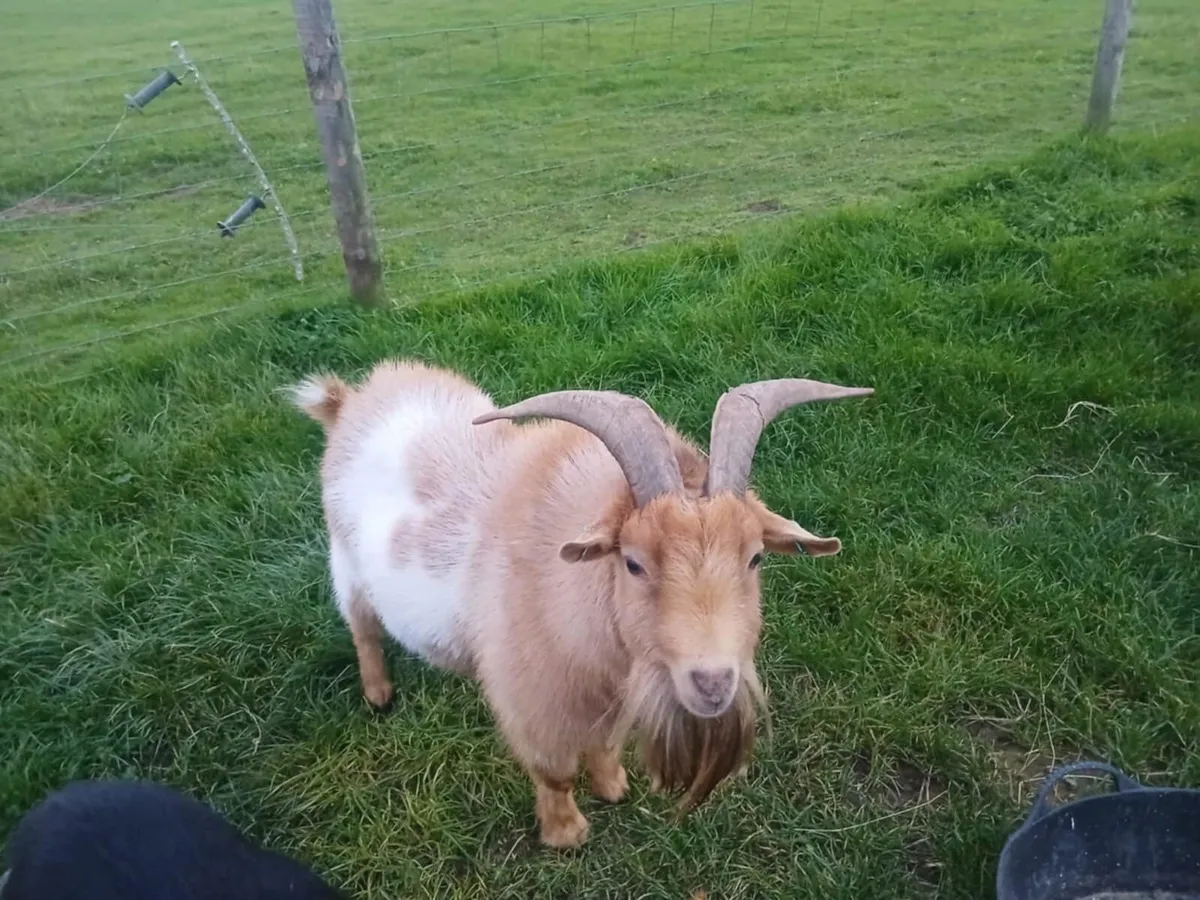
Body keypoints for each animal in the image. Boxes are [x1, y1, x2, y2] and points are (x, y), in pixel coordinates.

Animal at [291, 360, 871, 847]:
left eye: (754, 557)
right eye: (633, 563)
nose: (713, 683)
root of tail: (352, 399)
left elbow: (604, 745)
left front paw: (613, 785)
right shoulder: (532, 701)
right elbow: (554, 771)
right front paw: (566, 834)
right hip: (346, 565)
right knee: (363, 627)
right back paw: (378, 694)